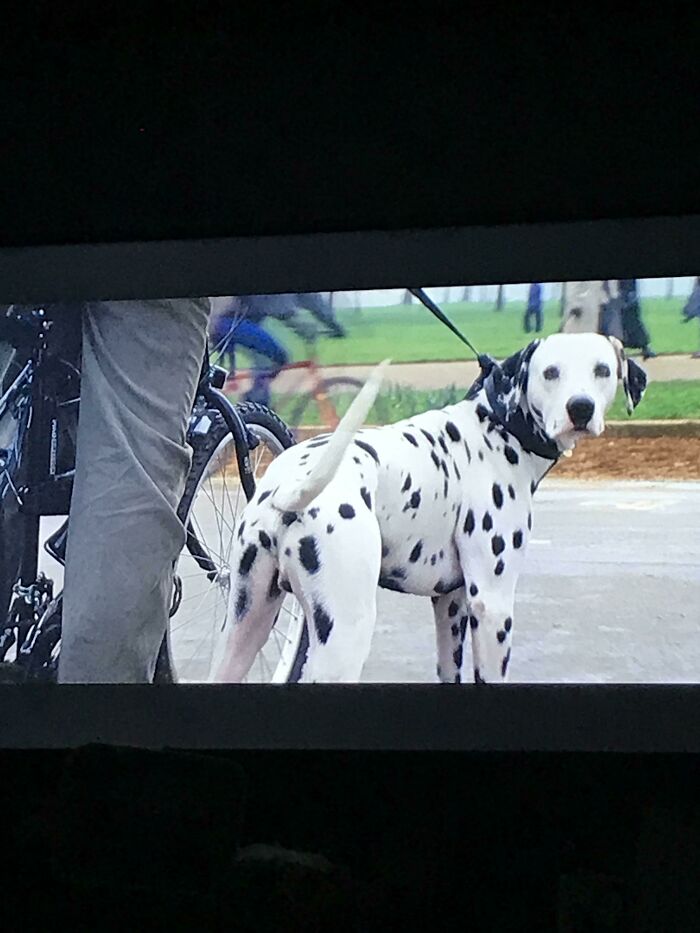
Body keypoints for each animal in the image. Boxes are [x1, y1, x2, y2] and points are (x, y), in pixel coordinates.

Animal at [212, 332, 644, 680]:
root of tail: (287, 487)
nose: (581, 407)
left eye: (602, 370)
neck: (499, 427)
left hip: (244, 628)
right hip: (344, 636)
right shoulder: (492, 606)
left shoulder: (451, 605)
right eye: (550, 372)